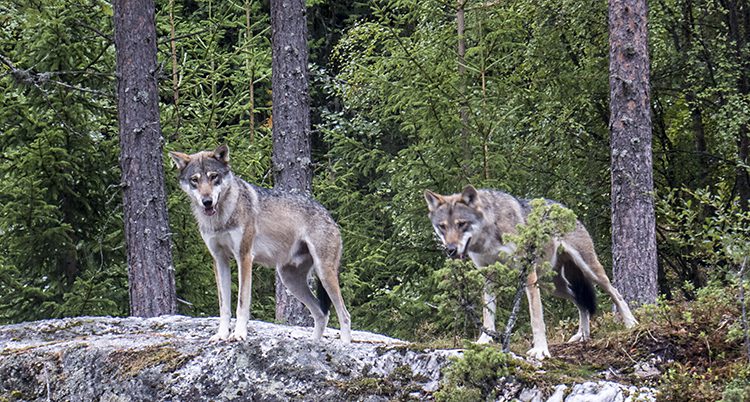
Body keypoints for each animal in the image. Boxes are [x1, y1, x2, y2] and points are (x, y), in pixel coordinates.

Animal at [170, 146, 352, 344]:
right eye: (195, 180)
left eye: (213, 177)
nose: (207, 201)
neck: (221, 219)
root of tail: (329, 216)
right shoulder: (219, 260)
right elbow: (223, 306)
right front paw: (221, 335)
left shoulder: (244, 257)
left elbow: (242, 303)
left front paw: (239, 334)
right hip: (290, 280)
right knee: (321, 314)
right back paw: (314, 344)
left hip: (324, 274)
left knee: (344, 315)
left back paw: (344, 345)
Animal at [426, 185, 636, 358]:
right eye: (442, 226)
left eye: (462, 224)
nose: (450, 249)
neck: (489, 235)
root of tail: (564, 208)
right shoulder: (488, 275)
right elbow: (488, 314)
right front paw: (484, 341)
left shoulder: (526, 273)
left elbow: (536, 318)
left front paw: (541, 350)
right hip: (552, 286)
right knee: (581, 303)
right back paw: (582, 335)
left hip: (587, 270)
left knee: (615, 293)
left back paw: (630, 323)